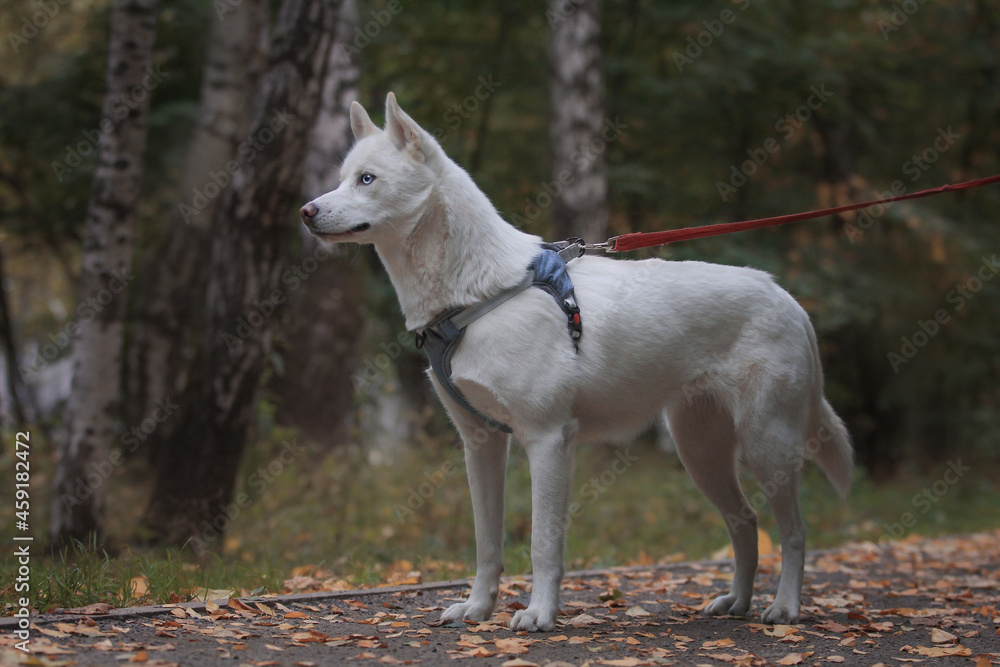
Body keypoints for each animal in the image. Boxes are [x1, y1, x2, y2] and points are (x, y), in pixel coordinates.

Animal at [298, 92, 852, 632]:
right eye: (342, 177)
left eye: (367, 179)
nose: (305, 211)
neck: (475, 293)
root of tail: (788, 298)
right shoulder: (481, 445)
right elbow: (486, 544)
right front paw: (477, 609)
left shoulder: (547, 440)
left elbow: (542, 543)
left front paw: (540, 614)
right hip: (701, 453)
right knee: (745, 523)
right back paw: (736, 602)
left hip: (765, 447)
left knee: (795, 533)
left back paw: (785, 608)